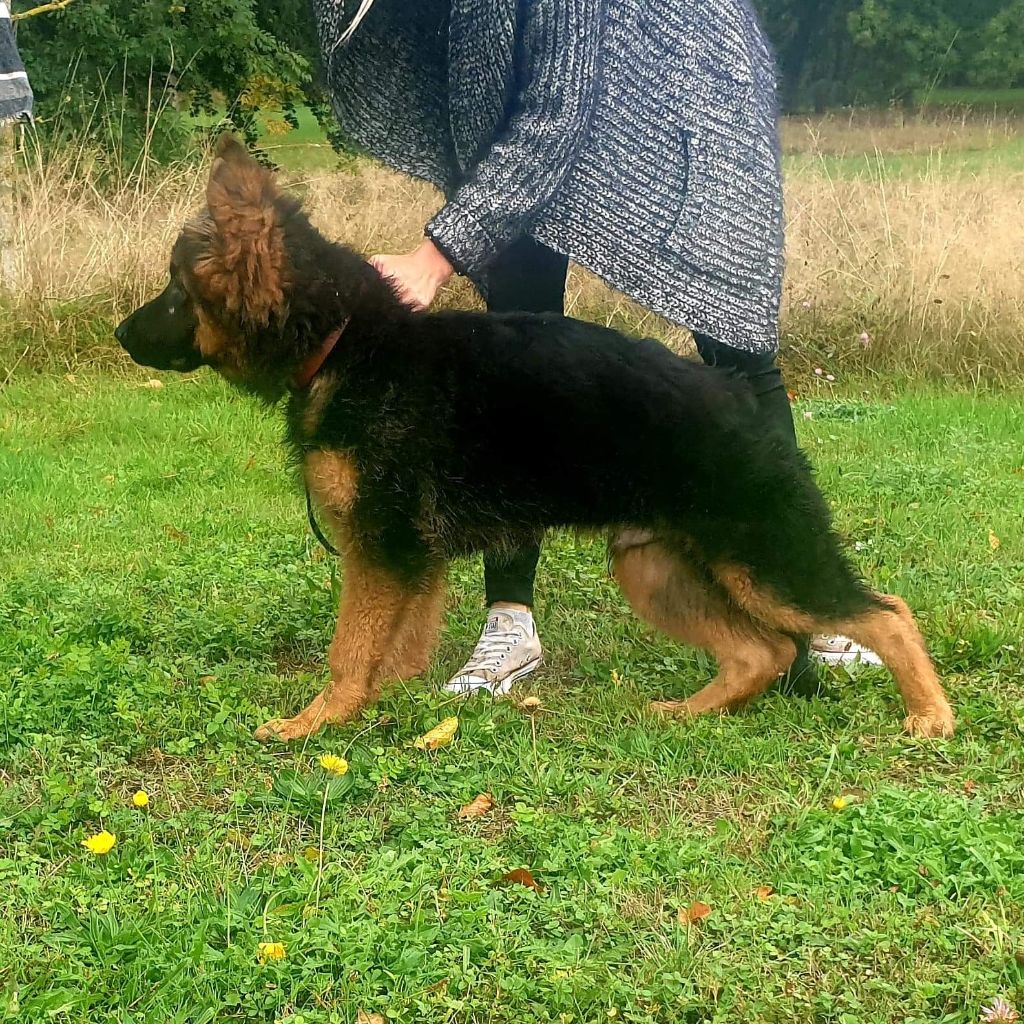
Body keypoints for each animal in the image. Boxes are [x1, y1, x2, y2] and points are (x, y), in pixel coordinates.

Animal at [116, 138, 954, 745]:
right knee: (764, 651)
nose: (121, 334)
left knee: (885, 612)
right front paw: (382, 708)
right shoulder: (407, 557)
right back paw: (689, 713)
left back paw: (929, 718)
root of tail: (745, 399)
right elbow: (395, 647)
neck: (344, 338)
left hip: (764, 561)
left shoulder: (383, 546)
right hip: (653, 565)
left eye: (175, 291)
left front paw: (316, 722)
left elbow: (349, 649)